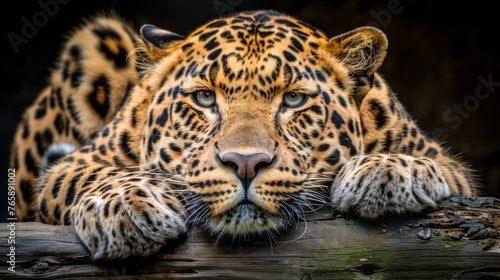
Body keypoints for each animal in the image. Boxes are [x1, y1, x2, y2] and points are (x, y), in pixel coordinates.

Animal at [9, 9, 478, 260]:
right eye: (204, 98)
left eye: (293, 100)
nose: (246, 163)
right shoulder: (72, 164)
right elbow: (97, 175)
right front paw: (126, 209)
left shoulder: (452, 168)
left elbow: (437, 167)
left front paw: (389, 172)